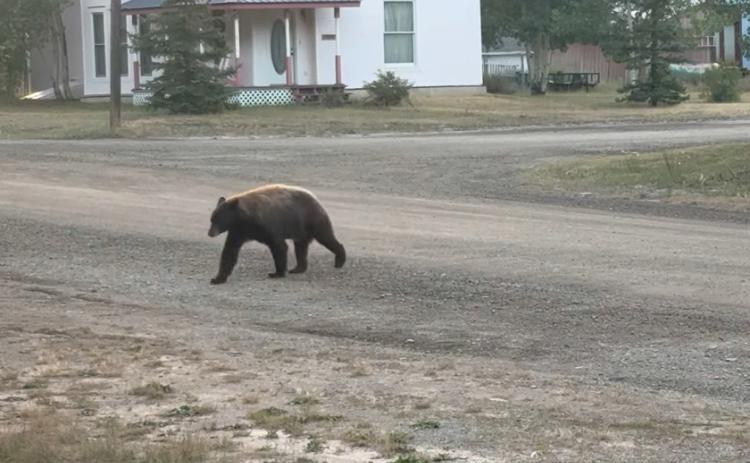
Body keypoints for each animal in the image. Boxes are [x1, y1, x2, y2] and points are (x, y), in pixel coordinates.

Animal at [207, 184, 346, 284]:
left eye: (217, 220)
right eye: (212, 219)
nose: (210, 233)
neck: (245, 218)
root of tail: (316, 199)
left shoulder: (268, 225)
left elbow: (279, 246)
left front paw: (277, 273)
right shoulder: (238, 231)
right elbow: (230, 250)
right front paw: (217, 278)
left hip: (313, 220)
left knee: (326, 237)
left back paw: (340, 260)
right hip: (300, 229)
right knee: (301, 247)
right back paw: (298, 268)